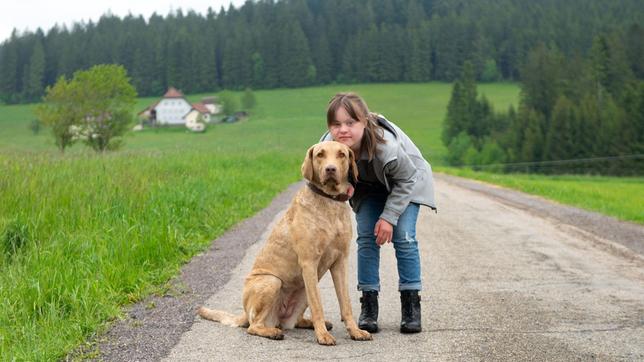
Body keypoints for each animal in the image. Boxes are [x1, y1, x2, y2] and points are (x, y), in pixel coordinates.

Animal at [200, 139, 372, 346]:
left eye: (341, 154)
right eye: (320, 154)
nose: (330, 169)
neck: (329, 202)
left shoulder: (340, 262)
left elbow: (345, 304)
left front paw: (355, 331)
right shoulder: (308, 263)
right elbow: (318, 306)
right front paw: (322, 336)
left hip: (304, 288)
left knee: (293, 320)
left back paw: (308, 323)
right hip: (273, 282)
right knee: (253, 326)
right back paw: (273, 332)